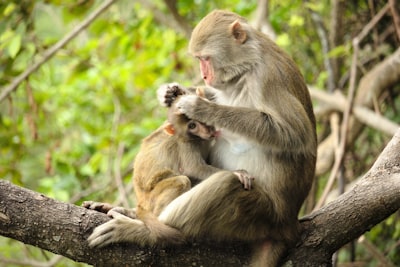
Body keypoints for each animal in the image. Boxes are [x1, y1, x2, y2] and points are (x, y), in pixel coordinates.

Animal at [89, 9, 318, 266]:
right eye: (198, 59)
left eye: (205, 58)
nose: (204, 76)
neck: (248, 66)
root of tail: (287, 226)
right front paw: (170, 92)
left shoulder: (267, 78)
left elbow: (296, 135)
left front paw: (201, 106)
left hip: (262, 214)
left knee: (226, 184)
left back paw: (144, 231)